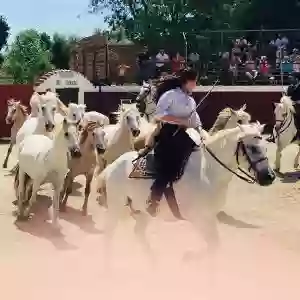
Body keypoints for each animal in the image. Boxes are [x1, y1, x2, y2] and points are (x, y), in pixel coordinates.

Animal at [98, 122, 274, 260]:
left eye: (265, 147)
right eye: (252, 148)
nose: (269, 177)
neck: (208, 171)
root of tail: (113, 165)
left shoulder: (209, 216)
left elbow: (215, 245)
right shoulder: (197, 218)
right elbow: (212, 244)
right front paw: (189, 257)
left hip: (143, 211)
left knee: (138, 233)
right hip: (115, 205)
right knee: (109, 234)